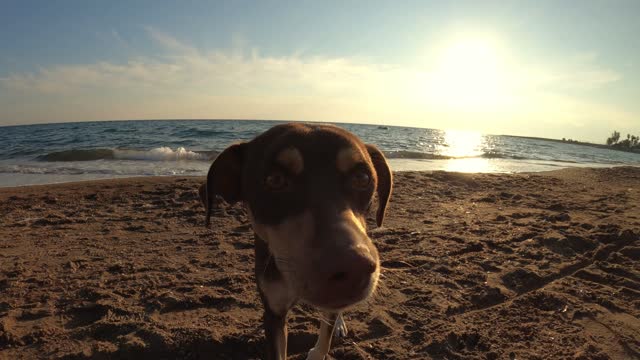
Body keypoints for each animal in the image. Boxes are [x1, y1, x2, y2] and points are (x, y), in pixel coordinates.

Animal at [200, 122, 392, 358]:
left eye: (362, 178)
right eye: (275, 180)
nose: (352, 267)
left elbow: (325, 336)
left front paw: (321, 347)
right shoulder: (273, 312)